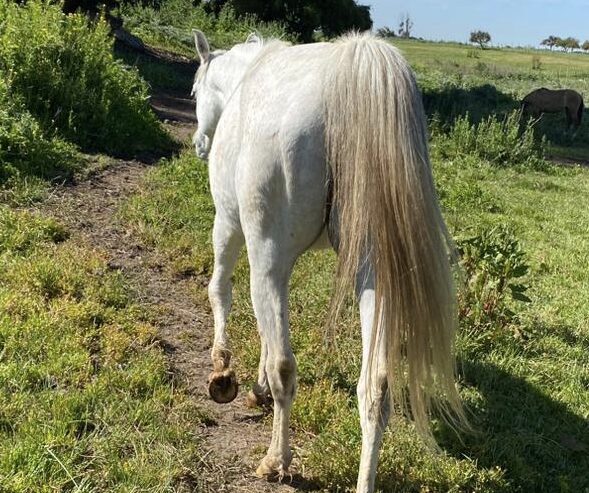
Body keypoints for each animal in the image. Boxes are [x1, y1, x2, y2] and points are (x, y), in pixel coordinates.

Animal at [191, 29, 466, 488]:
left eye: (195, 91)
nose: (199, 144)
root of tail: (352, 73)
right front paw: (254, 387)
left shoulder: (229, 225)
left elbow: (220, 293)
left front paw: (223, 373)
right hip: (374, 273)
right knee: (375, 388)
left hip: (266, 256)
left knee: (285, 366)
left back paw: (276, 461)